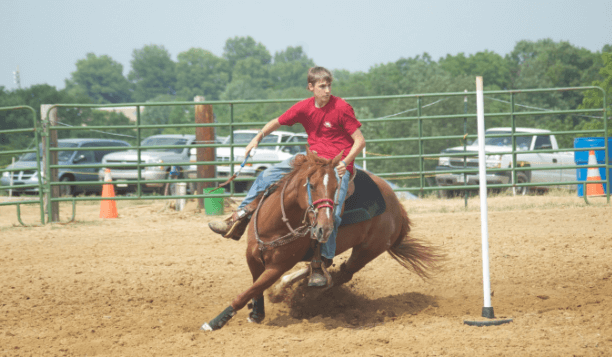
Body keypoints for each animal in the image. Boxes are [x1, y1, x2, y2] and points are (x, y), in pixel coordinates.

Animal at [201, 149, 440, 330]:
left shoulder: (277, 267)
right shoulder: (252, 256)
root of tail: (397, 205)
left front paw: (215, 322)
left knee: (341, 274)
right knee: (324, 265)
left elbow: (246, 292)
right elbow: (255, 288)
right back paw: (285, 288)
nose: (324, 227)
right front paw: (257, 311)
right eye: (312, 185)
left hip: (367, 251)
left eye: (336, 189)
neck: (276, 224)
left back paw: (307, 295)